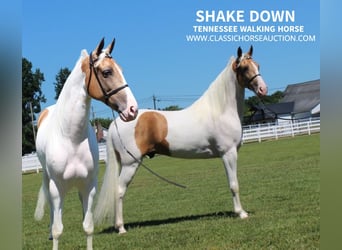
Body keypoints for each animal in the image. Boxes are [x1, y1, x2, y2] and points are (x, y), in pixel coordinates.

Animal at [33, 37, 138, 250]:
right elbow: (58, 230)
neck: (71, 138)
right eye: (107, 72)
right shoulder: (58, 189)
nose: (133, 109)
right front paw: (53, 234)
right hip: (49, 182)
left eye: (121, 69)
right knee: (52, 210)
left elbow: (88, 227)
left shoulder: (89, 187)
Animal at [93, 45, 268, 234]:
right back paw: (121, 228)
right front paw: (241, 213)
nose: (263, 89)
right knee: (119, 191)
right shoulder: (229, 154)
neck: (220, 110)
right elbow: (234, 184)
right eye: (244, 68)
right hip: (130, 164)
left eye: (258, 65)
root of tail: (116, 123)